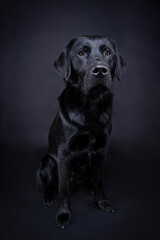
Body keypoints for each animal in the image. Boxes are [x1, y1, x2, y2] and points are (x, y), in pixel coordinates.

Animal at [36, 35, 126, 229]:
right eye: (81, 53)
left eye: (108, 53)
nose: (100, 70)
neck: (91, 105)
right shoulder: (64, 153)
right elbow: (62, 190)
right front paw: (63, 214)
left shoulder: (101, 151)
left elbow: (99, 181)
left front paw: (102, 202)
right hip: (47, 161)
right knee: (52, 185)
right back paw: (49, 196)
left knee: (91, 180)